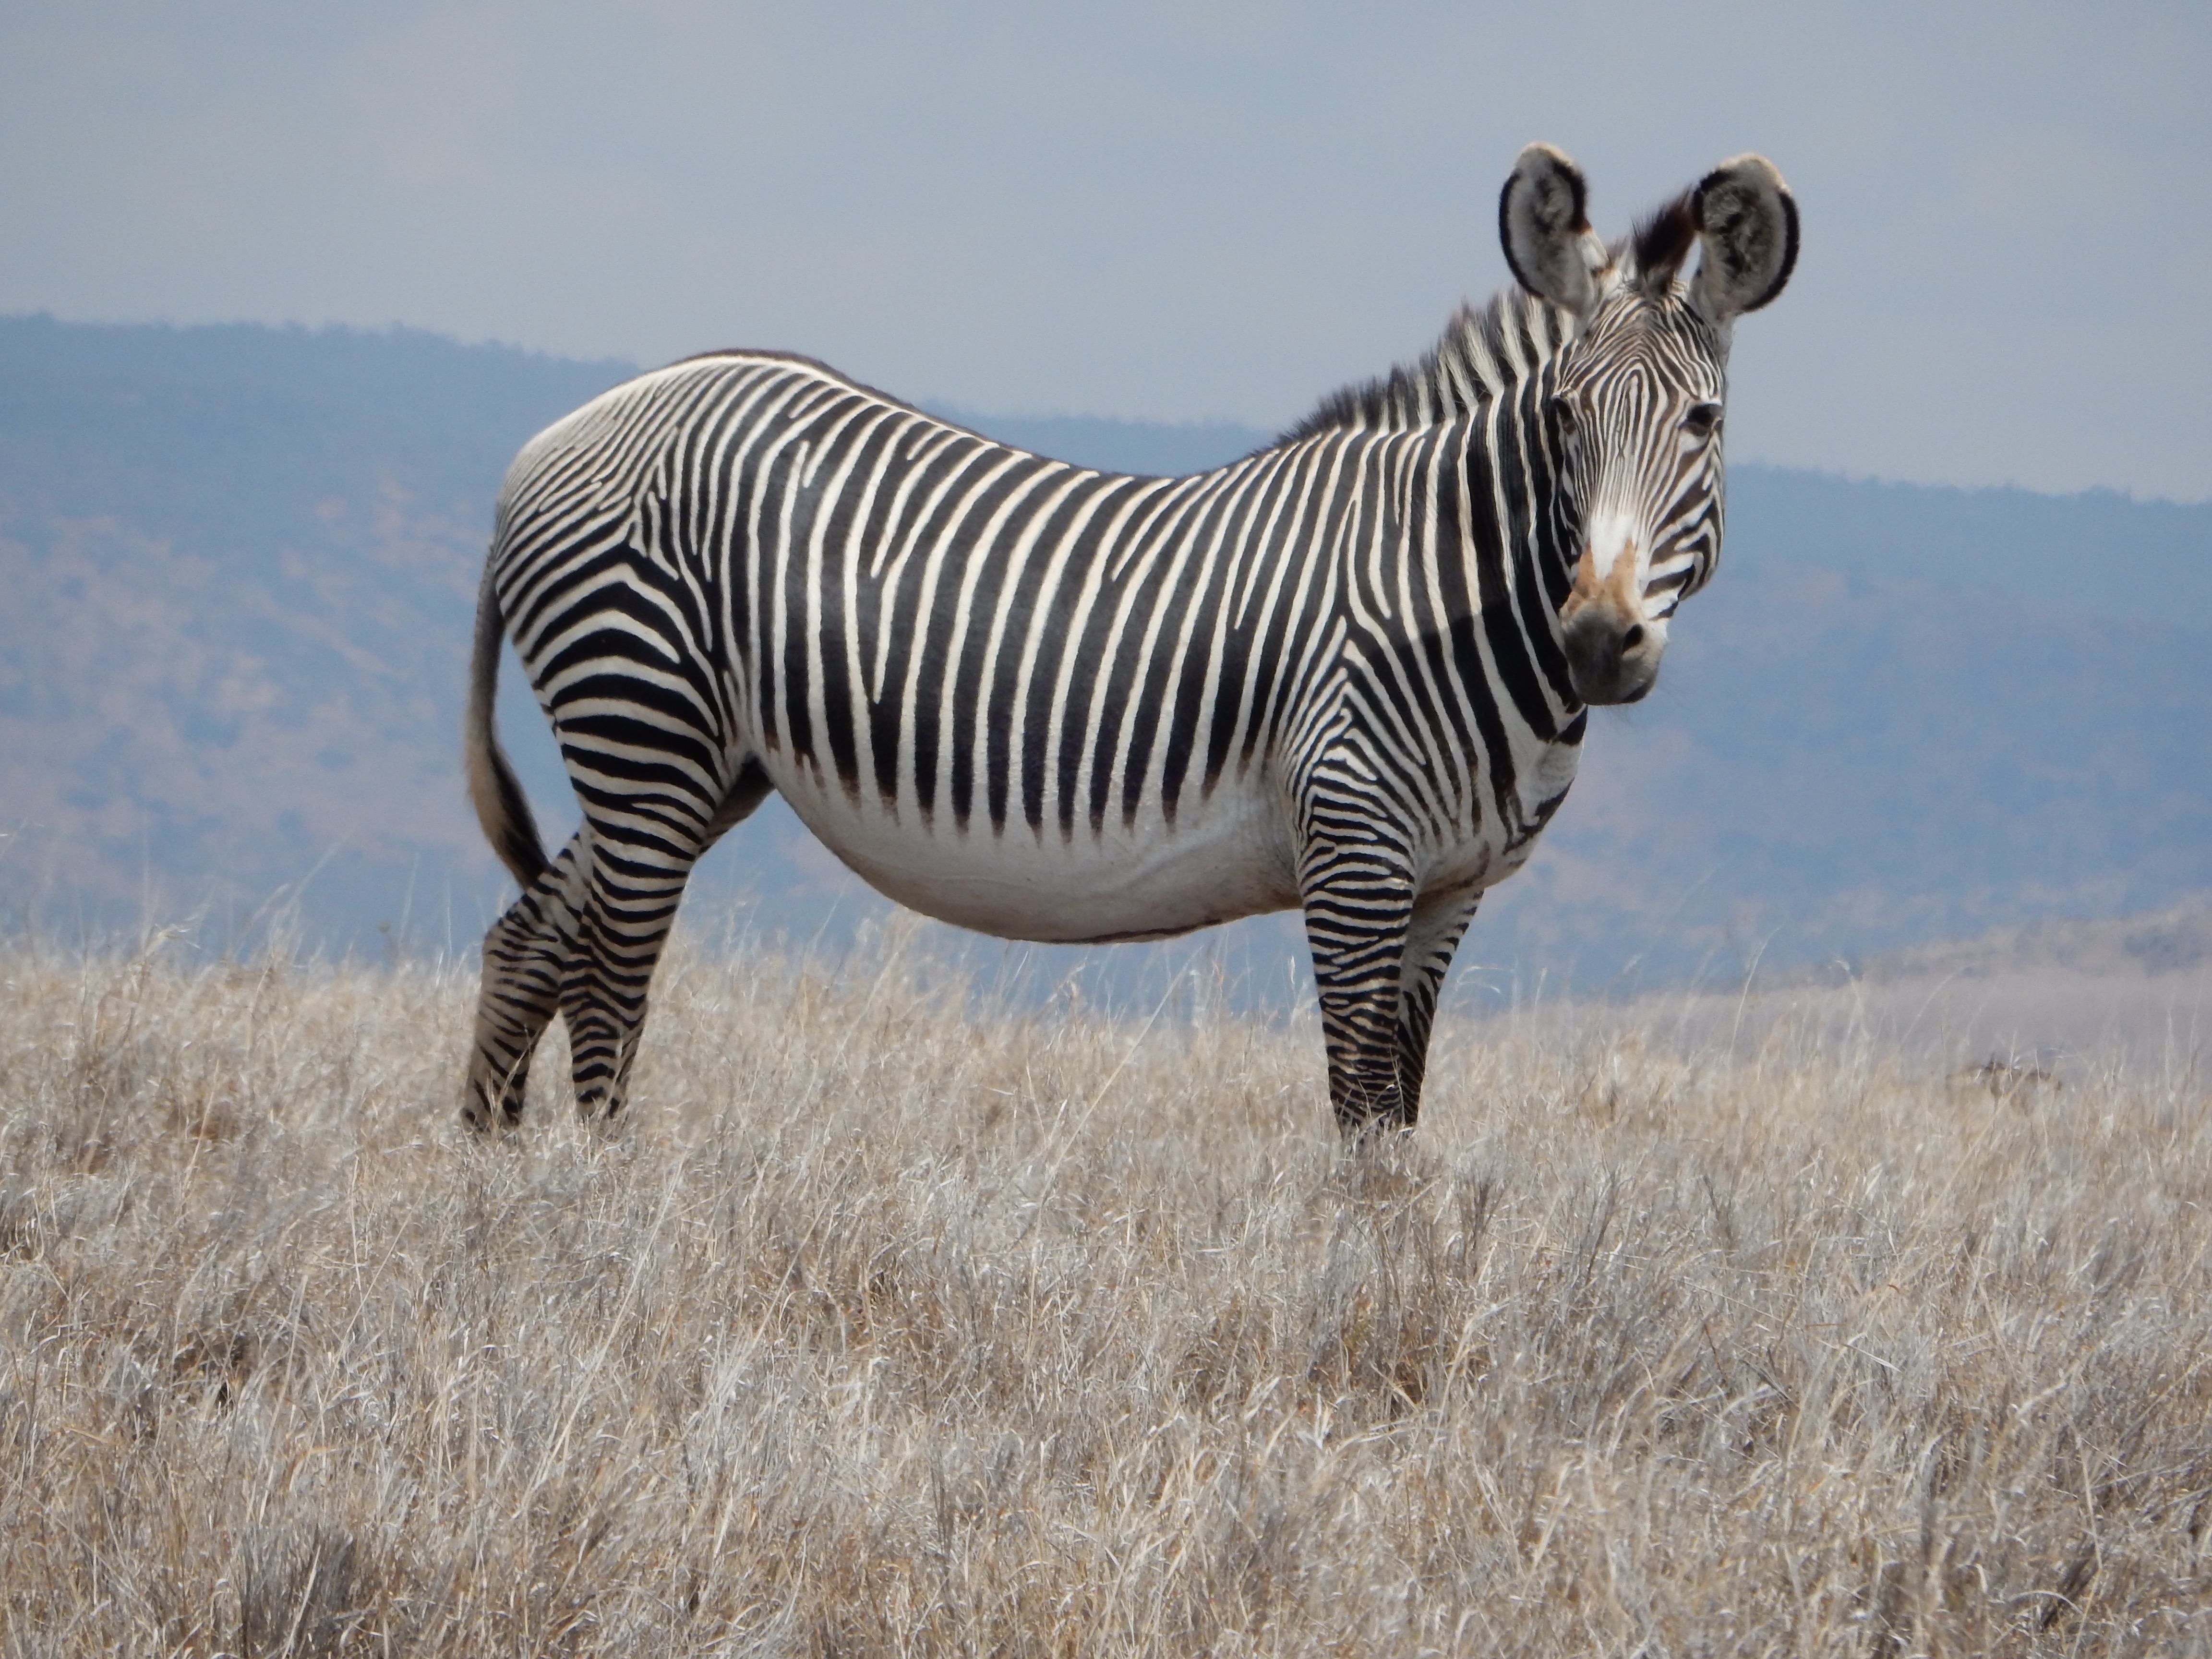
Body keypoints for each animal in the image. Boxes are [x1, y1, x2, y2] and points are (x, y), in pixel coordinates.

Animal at [461, 143, 1797, 1137]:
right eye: (1565, 417)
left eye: (1703, 421)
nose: (1600, 642)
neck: (1444, 584)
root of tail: (554, 436)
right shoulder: (1353, 849)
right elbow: (1358, 1109)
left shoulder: (1447, 888)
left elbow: (1399, 1116)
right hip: (646, 725)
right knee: (607, 993)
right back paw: (605, 1215)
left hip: (698, 764)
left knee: (529, 937)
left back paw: (498, 1205)